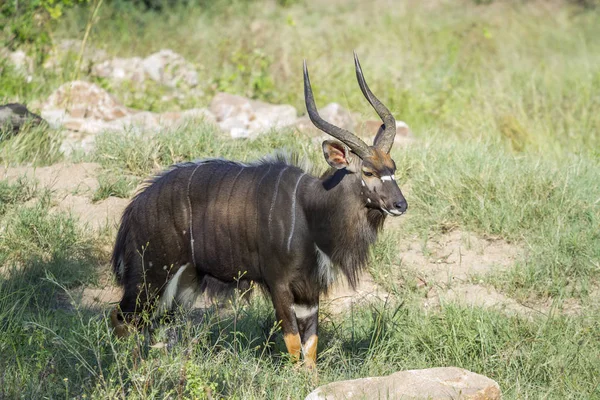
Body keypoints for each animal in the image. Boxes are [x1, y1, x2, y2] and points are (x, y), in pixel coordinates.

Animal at [109, 53, 408, 368]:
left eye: (393, 167)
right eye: (368, 171)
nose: (400, 205)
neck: (310, 210)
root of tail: (134, 210)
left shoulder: (309, 291)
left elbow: (310, 348)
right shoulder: (278, 283)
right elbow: (292, 343)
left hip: (184, 283)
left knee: (159, 325)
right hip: (149, 277)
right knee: (122, 318)